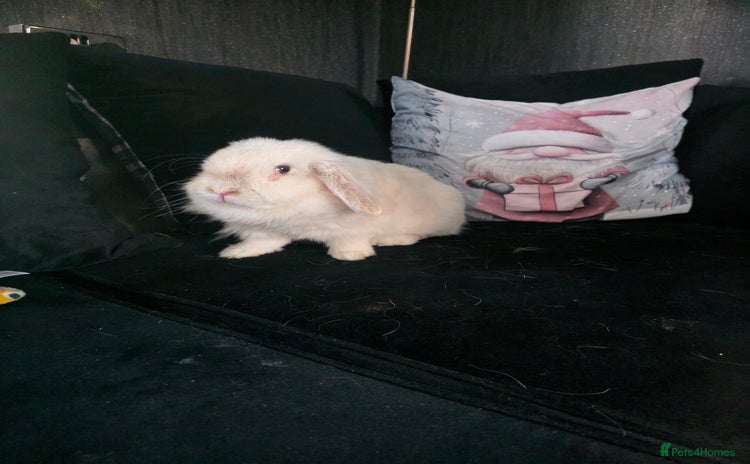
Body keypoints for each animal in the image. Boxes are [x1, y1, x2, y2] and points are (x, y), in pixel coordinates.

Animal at [184, 137, 466, 261]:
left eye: (283, 169)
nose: (221, 190)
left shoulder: (351, 229)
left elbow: (349, 241)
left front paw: (351, 255)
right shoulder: (264, 231)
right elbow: (264, 242)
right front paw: (237, 253)